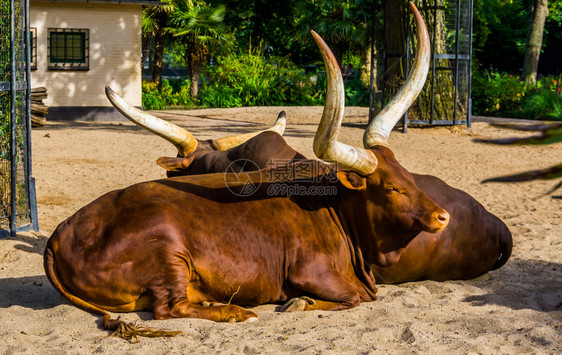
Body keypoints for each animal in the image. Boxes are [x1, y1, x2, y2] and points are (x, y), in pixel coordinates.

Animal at [43, 4, 446, 340]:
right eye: (391, 188)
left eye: (409, 176)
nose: (442, 216)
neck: (334, 211)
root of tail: (58, 234)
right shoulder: (313, 273)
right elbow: (354, 298)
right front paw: (299, 302)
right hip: (168, 255)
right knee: (168, 307)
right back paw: (236, 312)